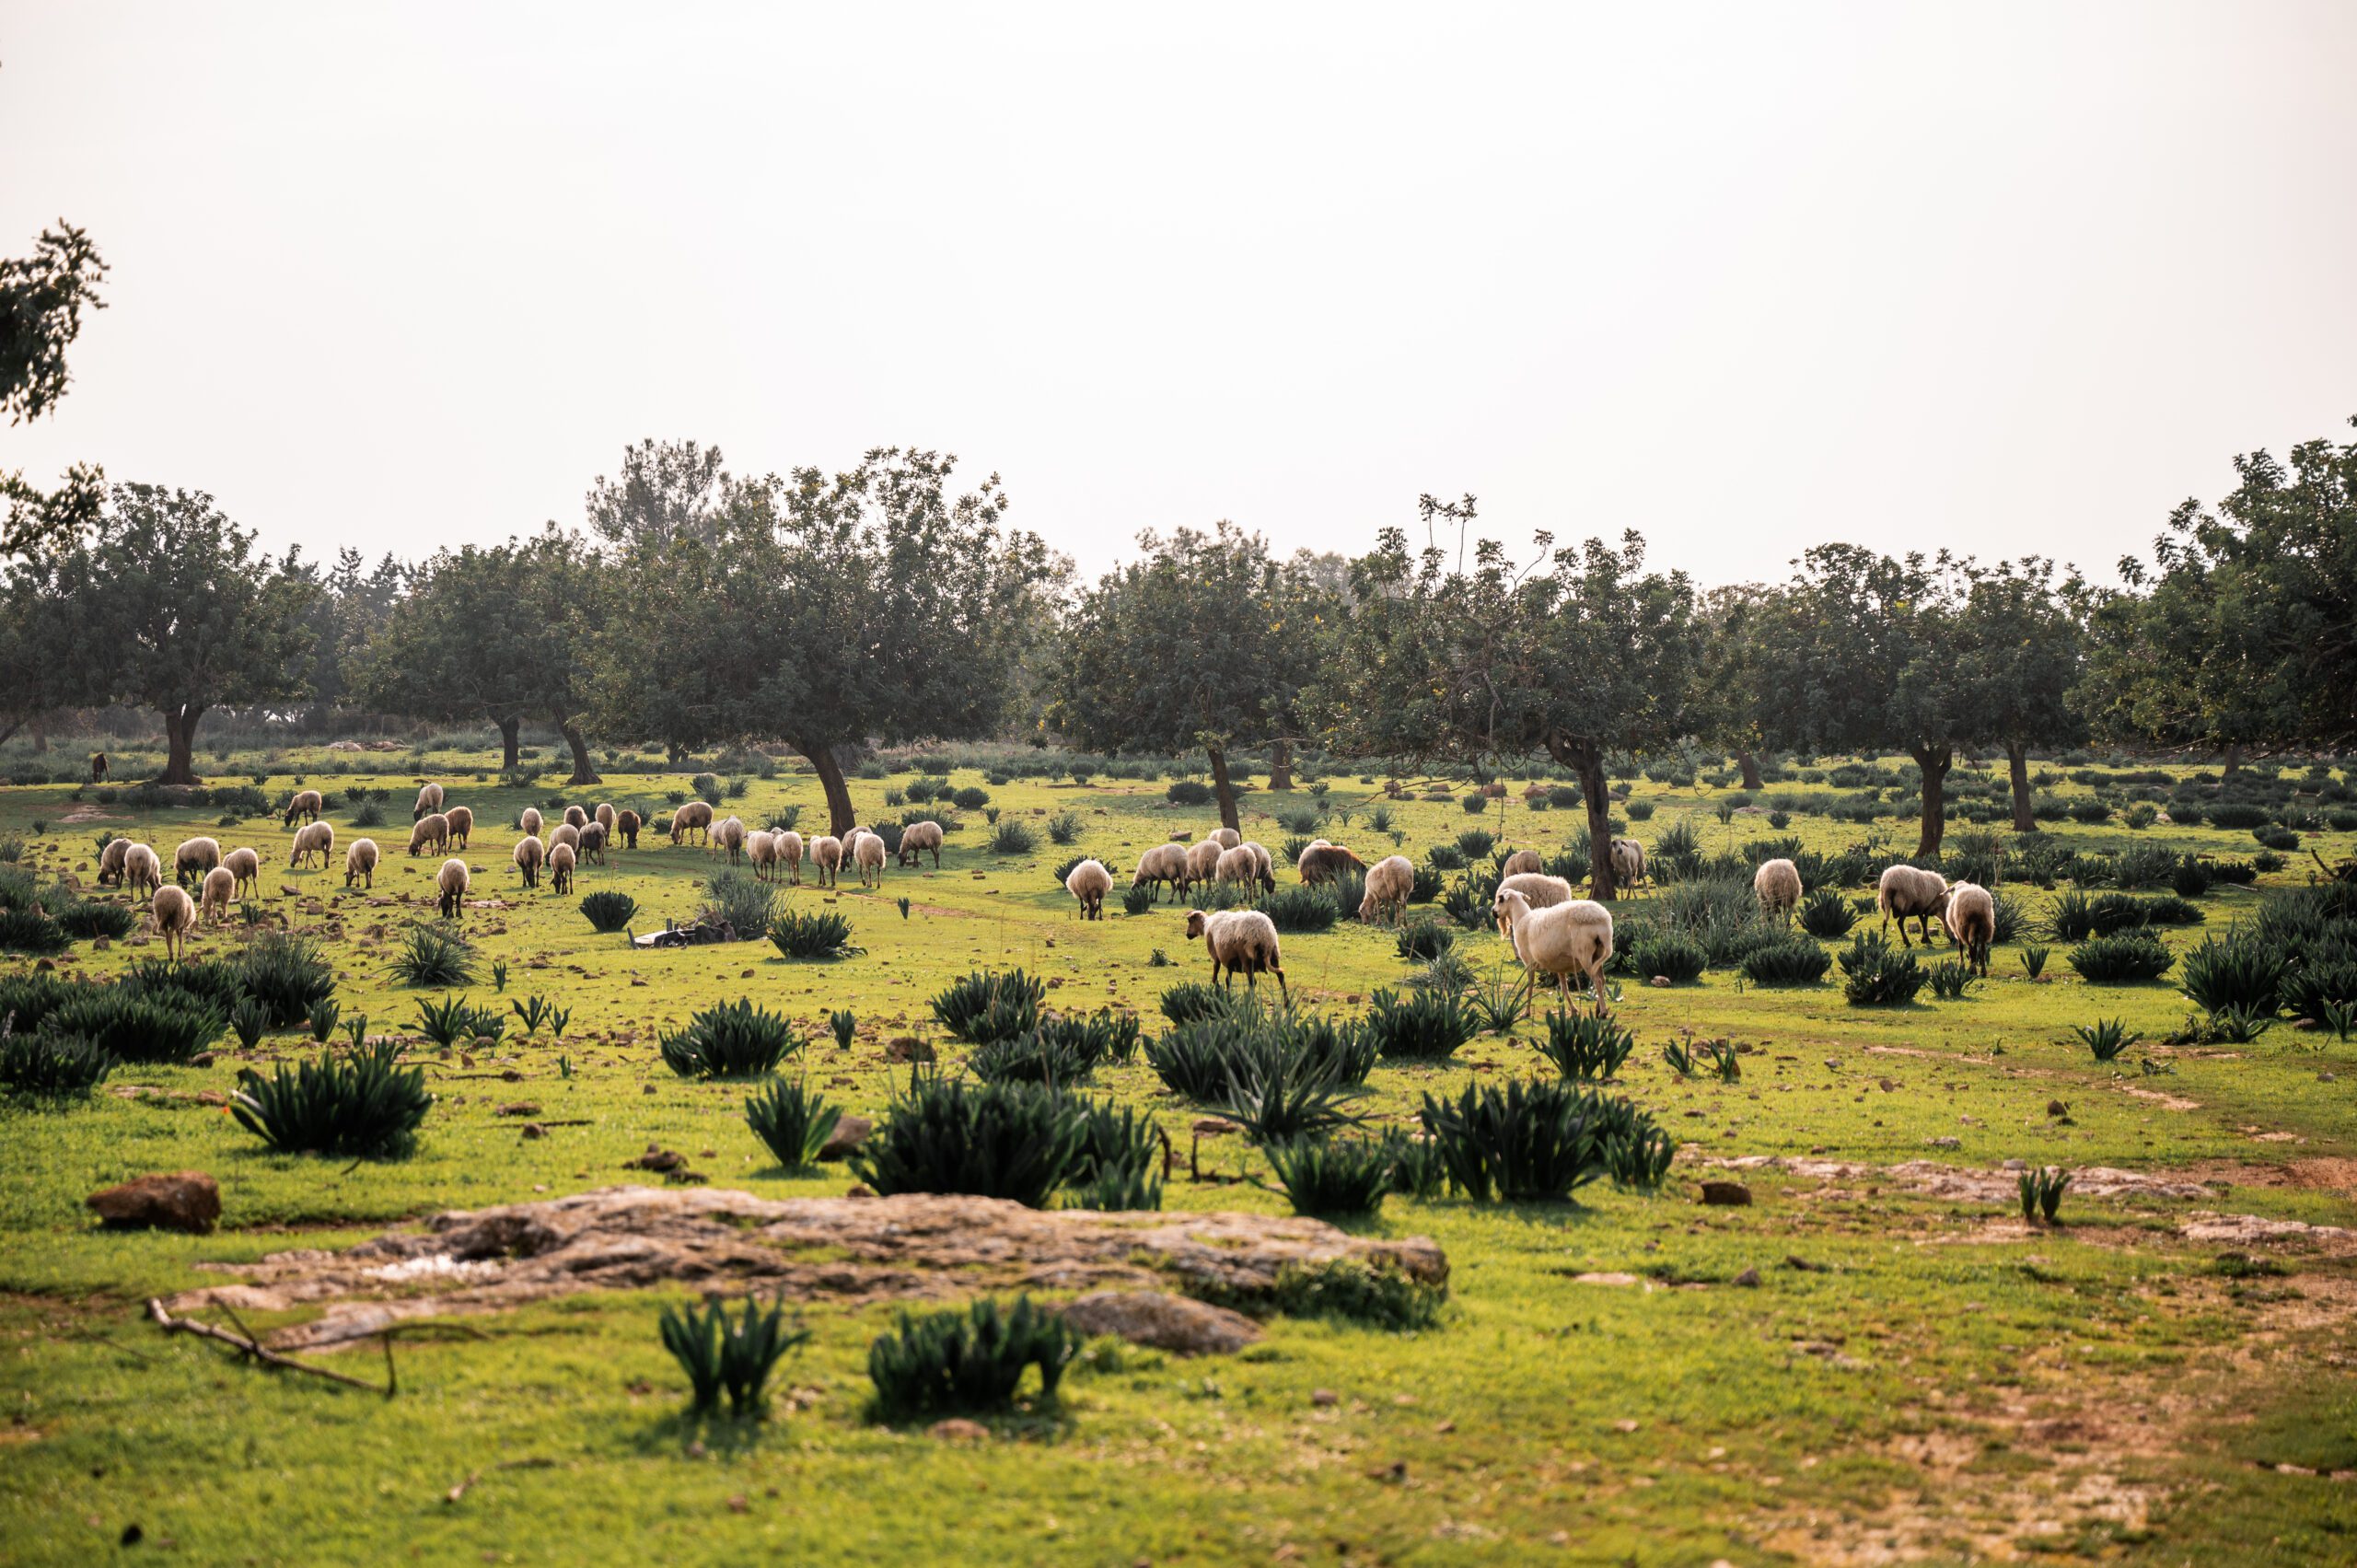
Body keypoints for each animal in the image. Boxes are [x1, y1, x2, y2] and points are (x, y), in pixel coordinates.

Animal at [1489, 886, 1621, 1023]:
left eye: (1500, 900)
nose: (1493, 912)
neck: (1520, 918)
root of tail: (1603, 922)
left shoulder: (1529, 963)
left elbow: (1530, 988)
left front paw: (1526, 1012)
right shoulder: (1559, 966)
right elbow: (1564, 989)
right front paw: (1574, 1010)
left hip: (1585, 954)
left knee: (1598, 981)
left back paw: (1603, 1012)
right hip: (1598, 954)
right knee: (1603, 979)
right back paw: (1598, 1009)